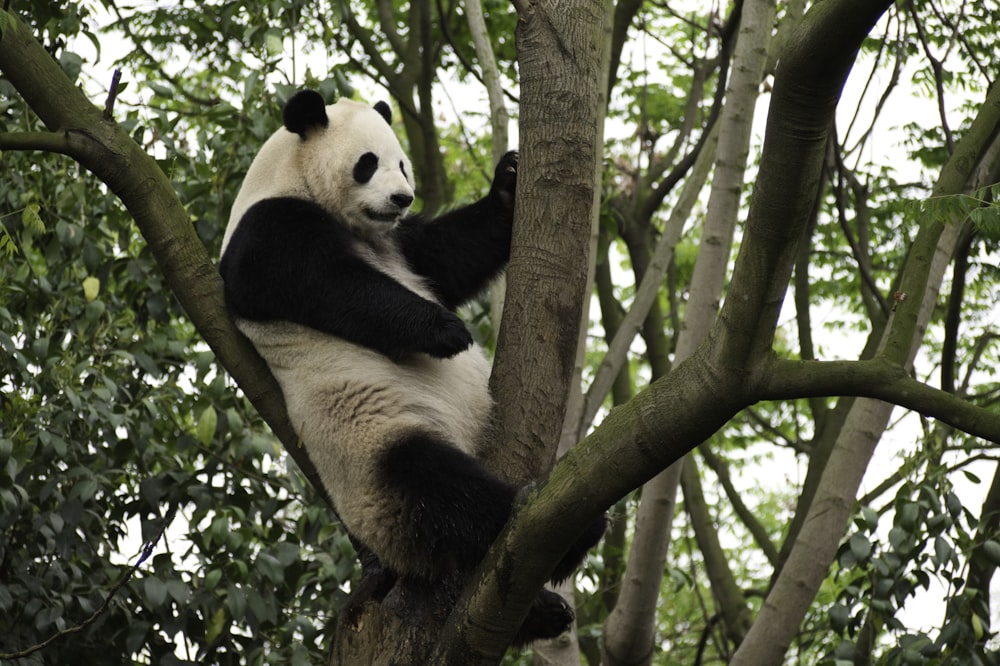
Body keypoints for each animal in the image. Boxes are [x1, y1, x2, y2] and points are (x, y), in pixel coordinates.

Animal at [220, 91, 604, 640]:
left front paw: (508, 183)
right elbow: (333, 284)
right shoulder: (268, 232)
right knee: (436, 487)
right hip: (369, 445)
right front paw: (446, 331)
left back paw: (545, 612)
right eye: (367, 164)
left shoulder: (400, 244)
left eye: (402, 163)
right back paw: (568, 533)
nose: (402, 198)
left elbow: (449, 254)